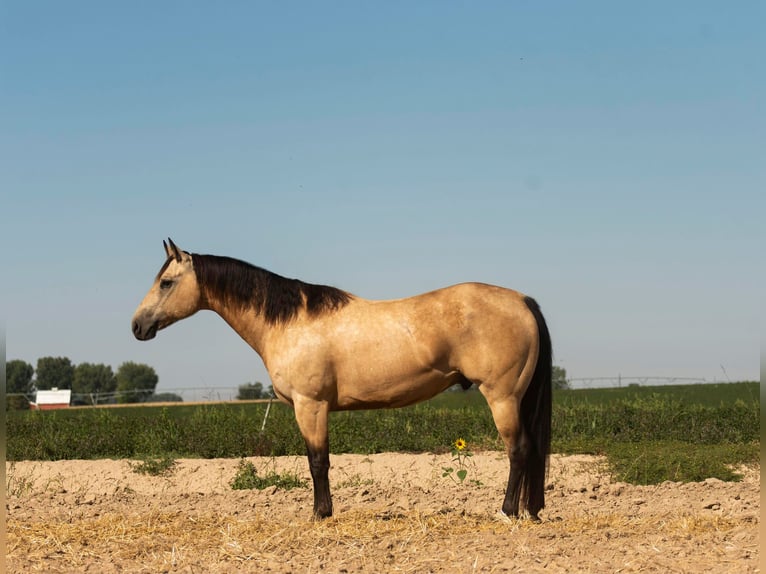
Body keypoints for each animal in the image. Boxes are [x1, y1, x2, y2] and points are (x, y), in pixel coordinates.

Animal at [132, 238, 552, 520]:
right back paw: (528, 511)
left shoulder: (311, 405)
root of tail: (522, 300)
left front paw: (320, 514)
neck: (290, 322)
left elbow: (317, 461)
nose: (137, 326)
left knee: (518, 450)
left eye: (166, 282)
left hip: (501, 396)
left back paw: (507, 512)